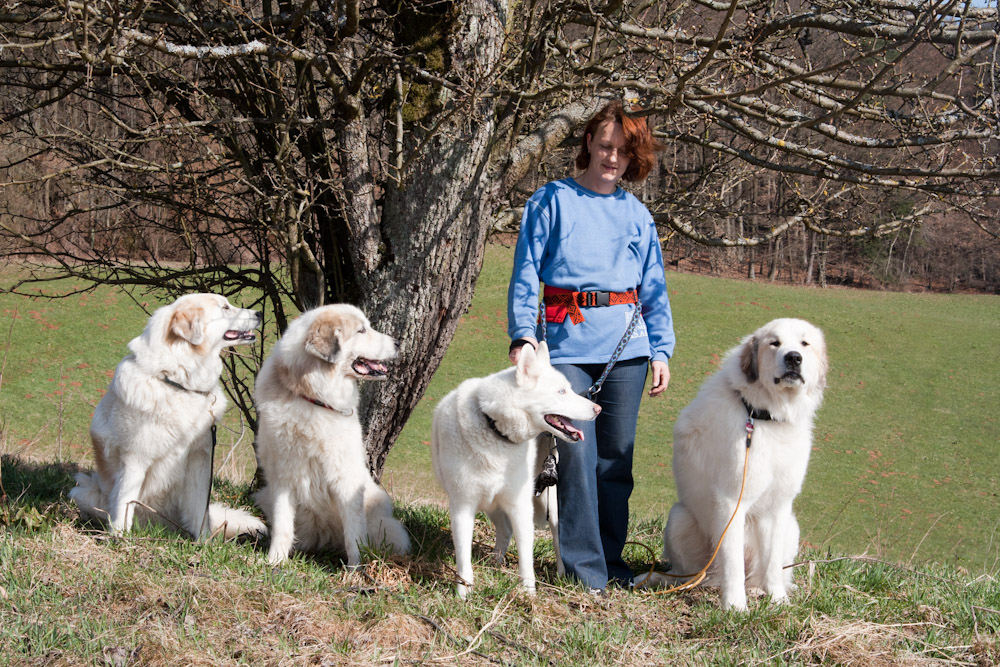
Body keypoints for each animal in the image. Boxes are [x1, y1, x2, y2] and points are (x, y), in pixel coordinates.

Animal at [69, 294, 266, 540]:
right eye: (225, 308)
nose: (259, 313)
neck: (178, 382)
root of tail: (156, 524)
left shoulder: (200, 459)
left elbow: (199, 508)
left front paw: (203, 542)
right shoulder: (135, 458)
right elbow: (124, 502)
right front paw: (121, 538)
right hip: (82, 490)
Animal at [254, 306, 410, 568]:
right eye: (361, 330)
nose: (398, 343)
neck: (313, 398)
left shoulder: (345, 478)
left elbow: (353, 533)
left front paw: (356, 569)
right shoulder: (284, 477)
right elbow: (283, 524)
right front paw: (275, 561)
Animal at [432, 344, 600, 600]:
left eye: (568, 389)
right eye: (561, 391)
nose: (598, 408)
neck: (494, 430)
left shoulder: (521, 506)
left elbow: (526, 559)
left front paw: (529, 595)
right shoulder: (463, 506)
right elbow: (463, 558)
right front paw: (463, 594)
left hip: (550, 504)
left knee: (557, 539)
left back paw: (562, 575)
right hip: (492, 505)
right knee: (504, 530)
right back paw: (495, 562)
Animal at [640, 318, 828, 612]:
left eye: (804, 343)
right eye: (774, 343)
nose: (793, 358)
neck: (764, 415)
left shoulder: (778, 507)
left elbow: (772, 564)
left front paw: (778, 600)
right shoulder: (731, 502)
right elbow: (733, 563)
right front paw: (735, 607)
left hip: (792, 526)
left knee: (763, 572)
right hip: (679, 518)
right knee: (699, 574)